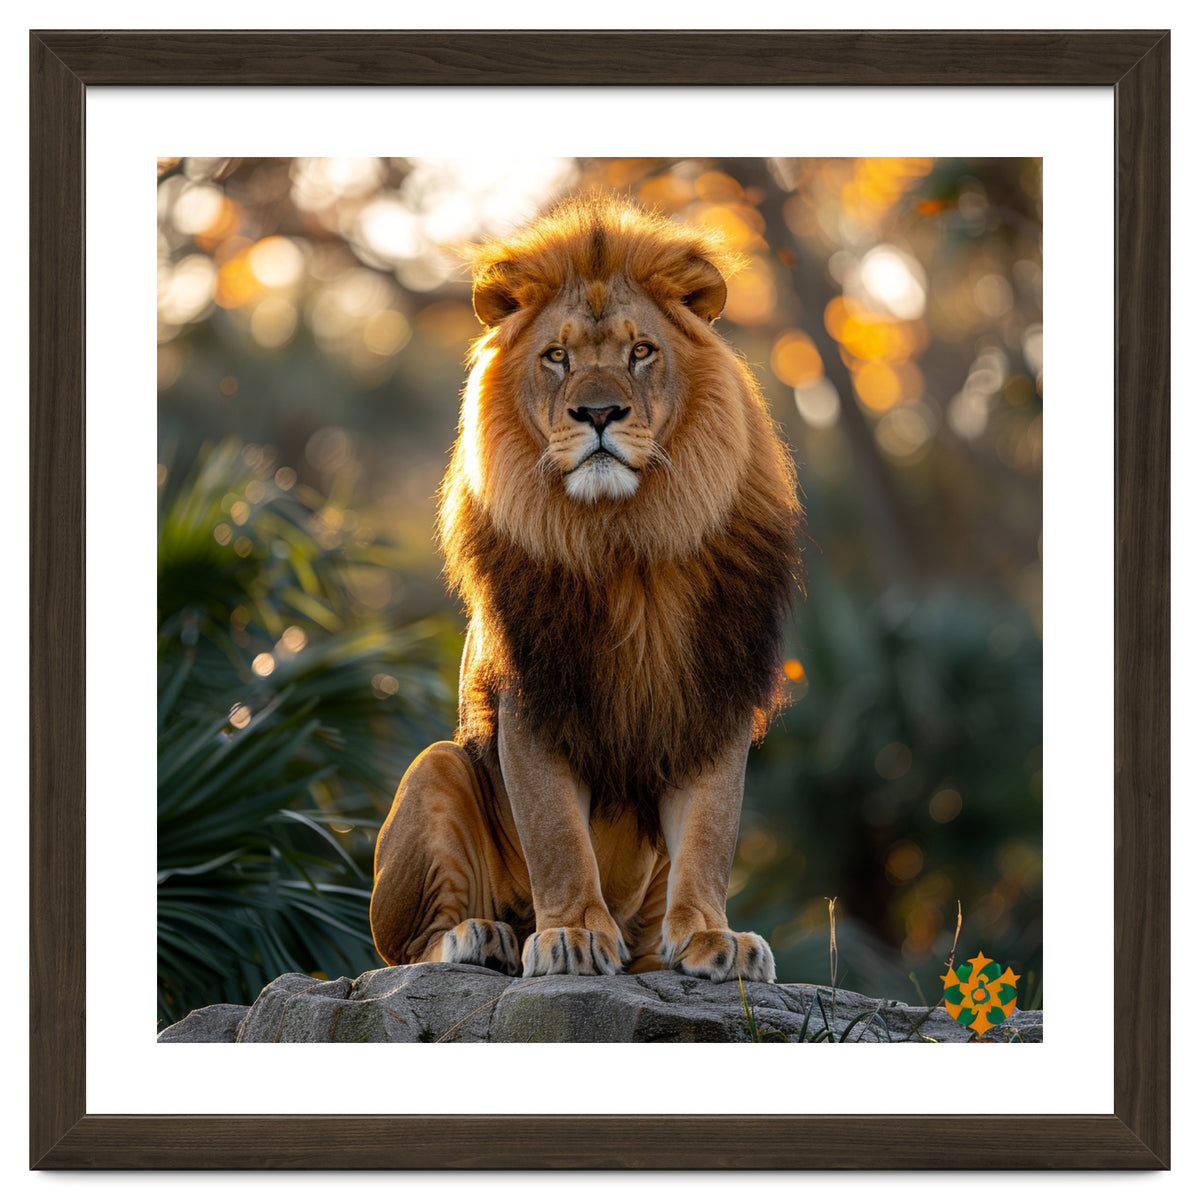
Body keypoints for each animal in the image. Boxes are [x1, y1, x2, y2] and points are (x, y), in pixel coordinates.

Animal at [370, 195, 802, 984]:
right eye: (557, 357)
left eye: (641, 352)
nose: (599, 414)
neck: (625, 541)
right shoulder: (532, 697)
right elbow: (558, 835)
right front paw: (569, 934)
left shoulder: (713, 696)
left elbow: (709, 833)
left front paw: (712, 938)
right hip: (436, 768)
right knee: (406, 949)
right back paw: (483, 936)